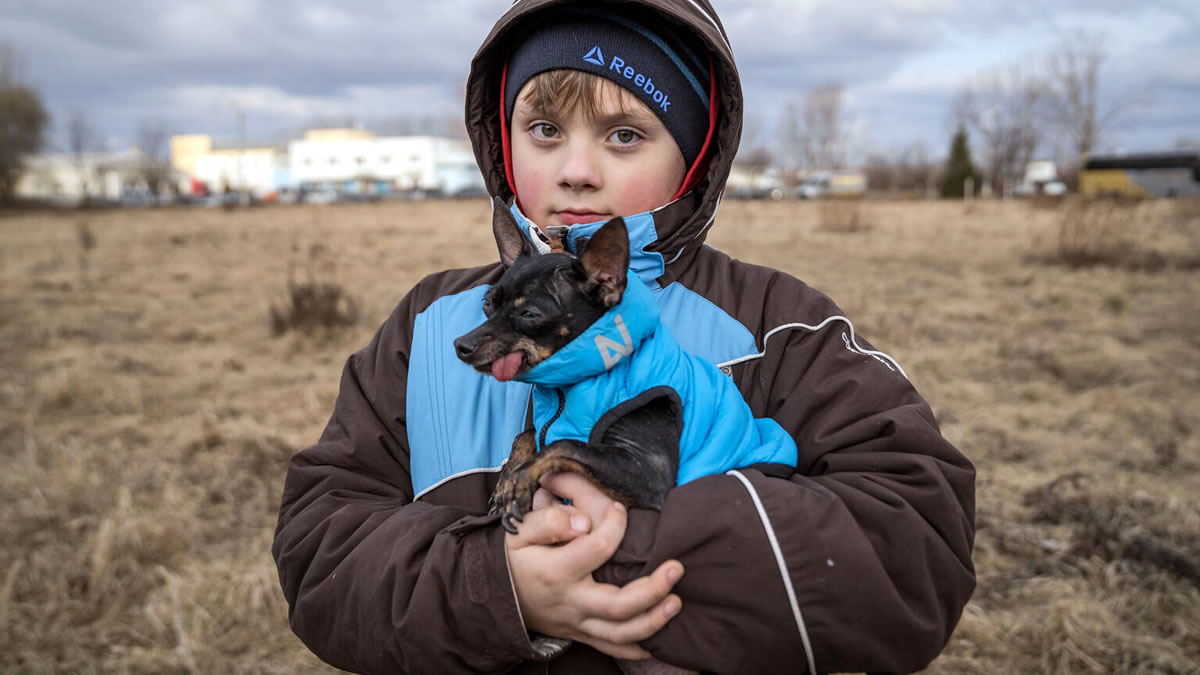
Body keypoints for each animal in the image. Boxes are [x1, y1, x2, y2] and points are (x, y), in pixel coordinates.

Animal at [453, 210, 681, 530]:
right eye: (487, 304)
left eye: (529, 314)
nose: (461, 345)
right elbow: (527, 433)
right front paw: (508, 481)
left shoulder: (649, 472)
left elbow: (563, 444)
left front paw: (519, 480)